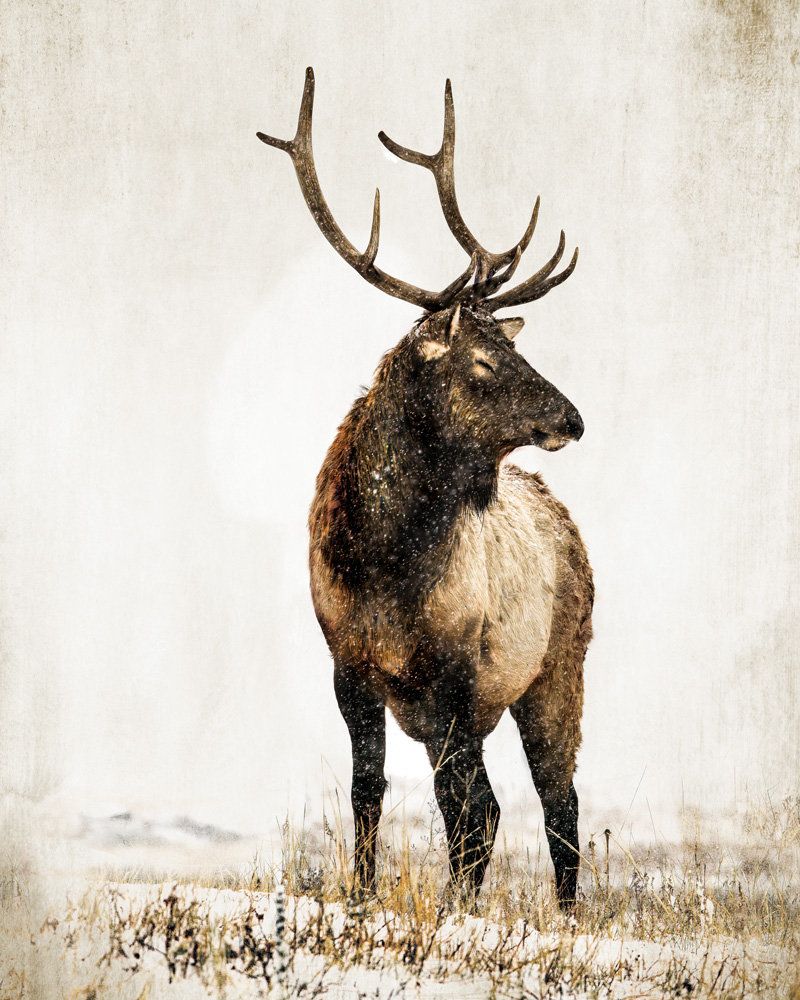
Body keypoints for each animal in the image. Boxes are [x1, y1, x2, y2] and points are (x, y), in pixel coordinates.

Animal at [257, 68, 593, 910]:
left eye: (510, 348)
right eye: (484, 361)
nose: (572, 417)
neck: (381, 564)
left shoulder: (455, 678)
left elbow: (468, 808)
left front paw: (454, 914)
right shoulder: (348, 667)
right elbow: (367, 791)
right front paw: (362, 895)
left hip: (555, 671)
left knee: (552, 800)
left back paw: (565, 915)